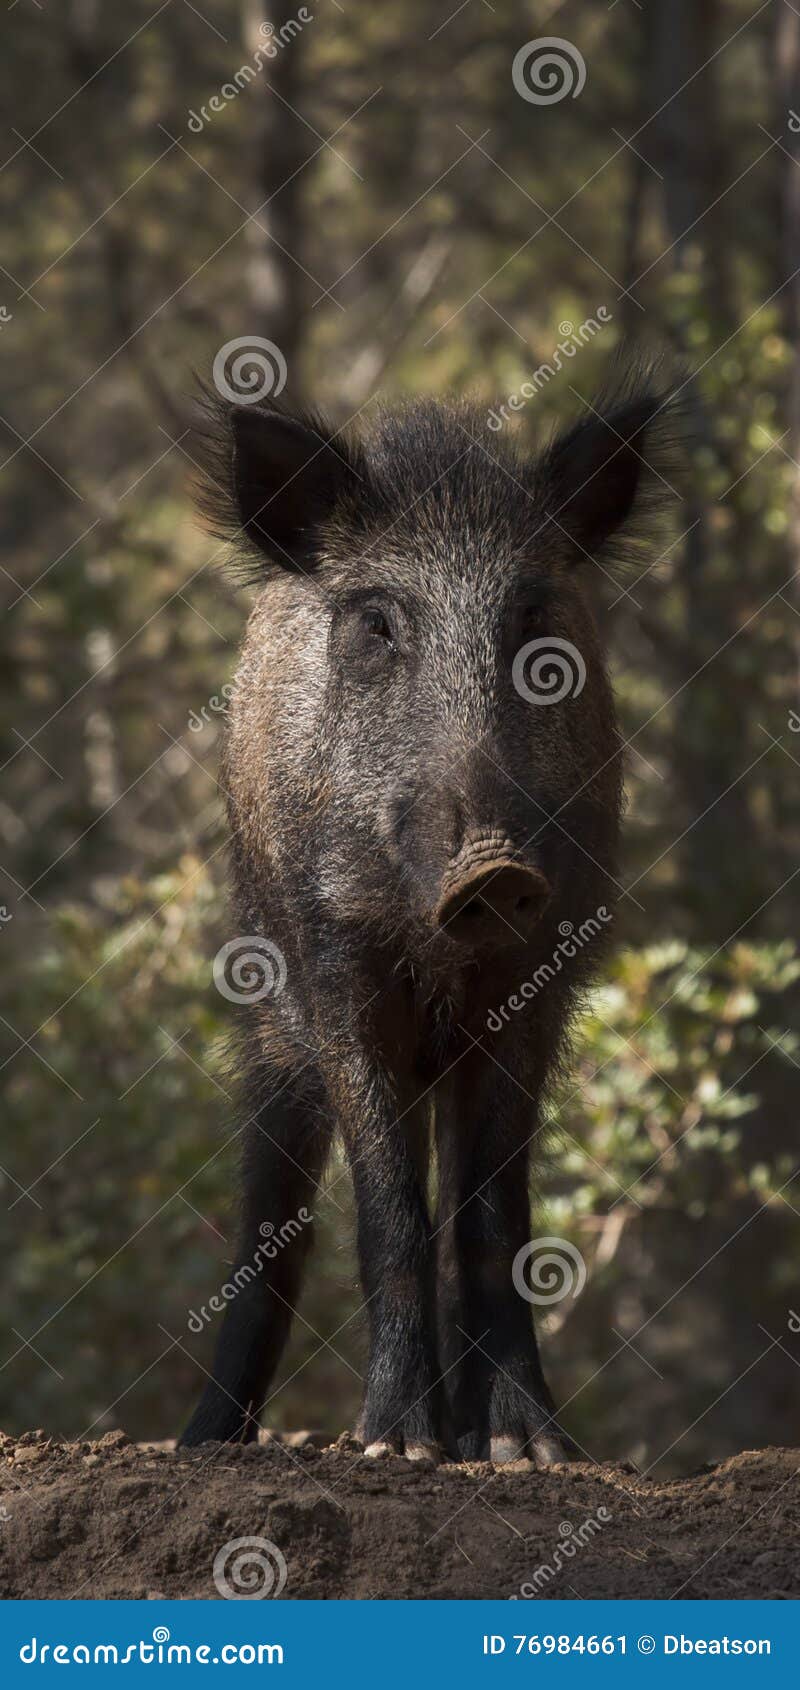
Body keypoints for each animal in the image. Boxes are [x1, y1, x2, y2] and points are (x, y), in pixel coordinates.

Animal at [179, 368, 677, 1462]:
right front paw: (392, 1447)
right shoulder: (335, 965)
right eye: (376, 625)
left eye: (533, 617)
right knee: (272, 1212)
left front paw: (529, 1453)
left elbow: (491, 1219)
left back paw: (462, 1440)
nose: (491, 867)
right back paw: (210, 1441)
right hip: (269, 1014)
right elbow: (388, 1213)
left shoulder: (539, 973)